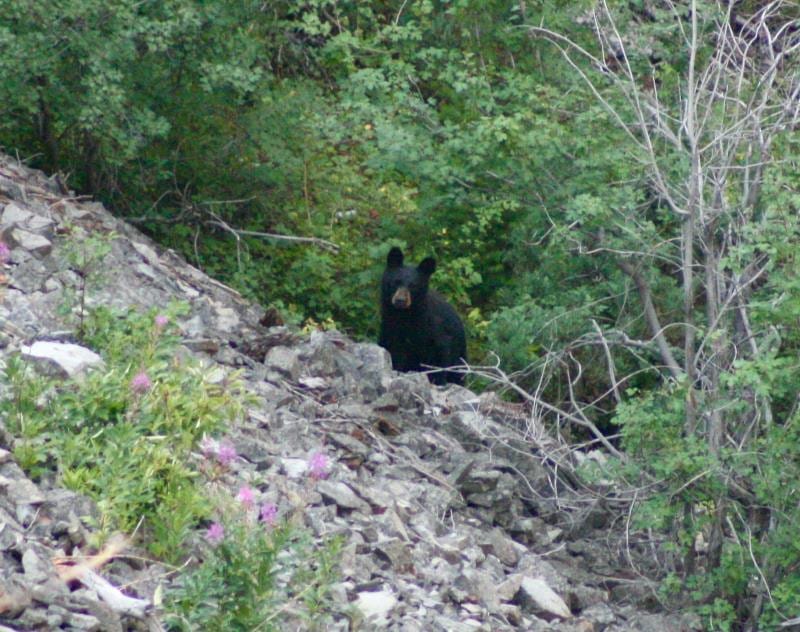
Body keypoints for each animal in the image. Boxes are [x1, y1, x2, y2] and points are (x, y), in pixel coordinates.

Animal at [378, 247, 467, 385]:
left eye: (413, 285)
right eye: (396, 282)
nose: (400, 300)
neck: (404, 315)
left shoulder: (435, 329)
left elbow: (441, 353)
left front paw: (439, 381)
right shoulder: (390, 328)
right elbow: (392, 351)